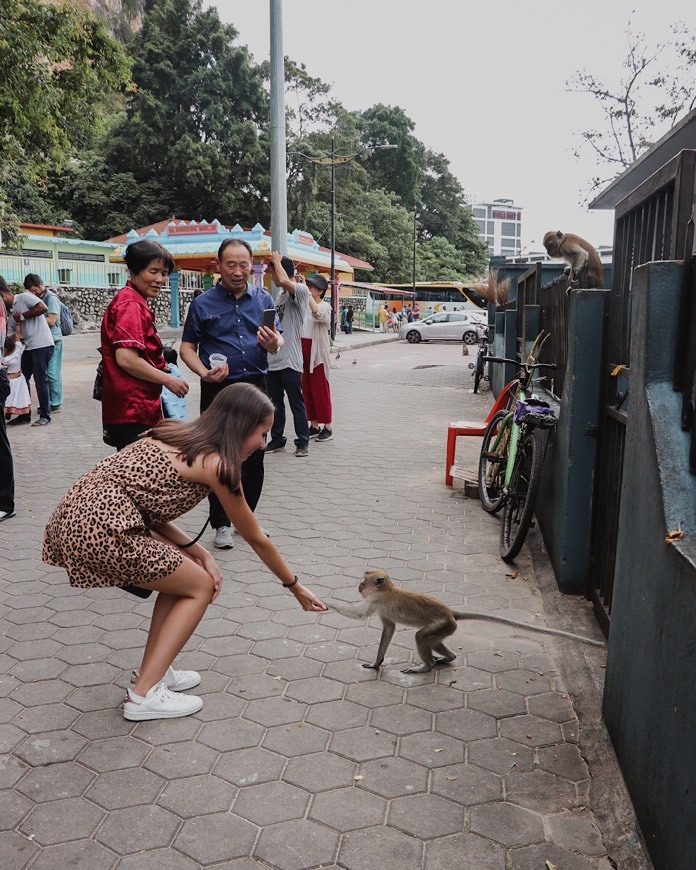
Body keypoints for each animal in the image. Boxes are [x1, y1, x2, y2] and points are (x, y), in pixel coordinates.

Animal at [328, 572, 604, 676]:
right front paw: (377, 663)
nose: (359, 585)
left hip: (441, 624)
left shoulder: (376, 601)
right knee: (432, 640)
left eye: (364, 580)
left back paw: (426, 667)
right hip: (446, 628)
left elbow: (360, 615)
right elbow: (388, 630)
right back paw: (446, 658)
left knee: (421, 637)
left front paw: (328, 603)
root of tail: (451, 612)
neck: (388, 589)